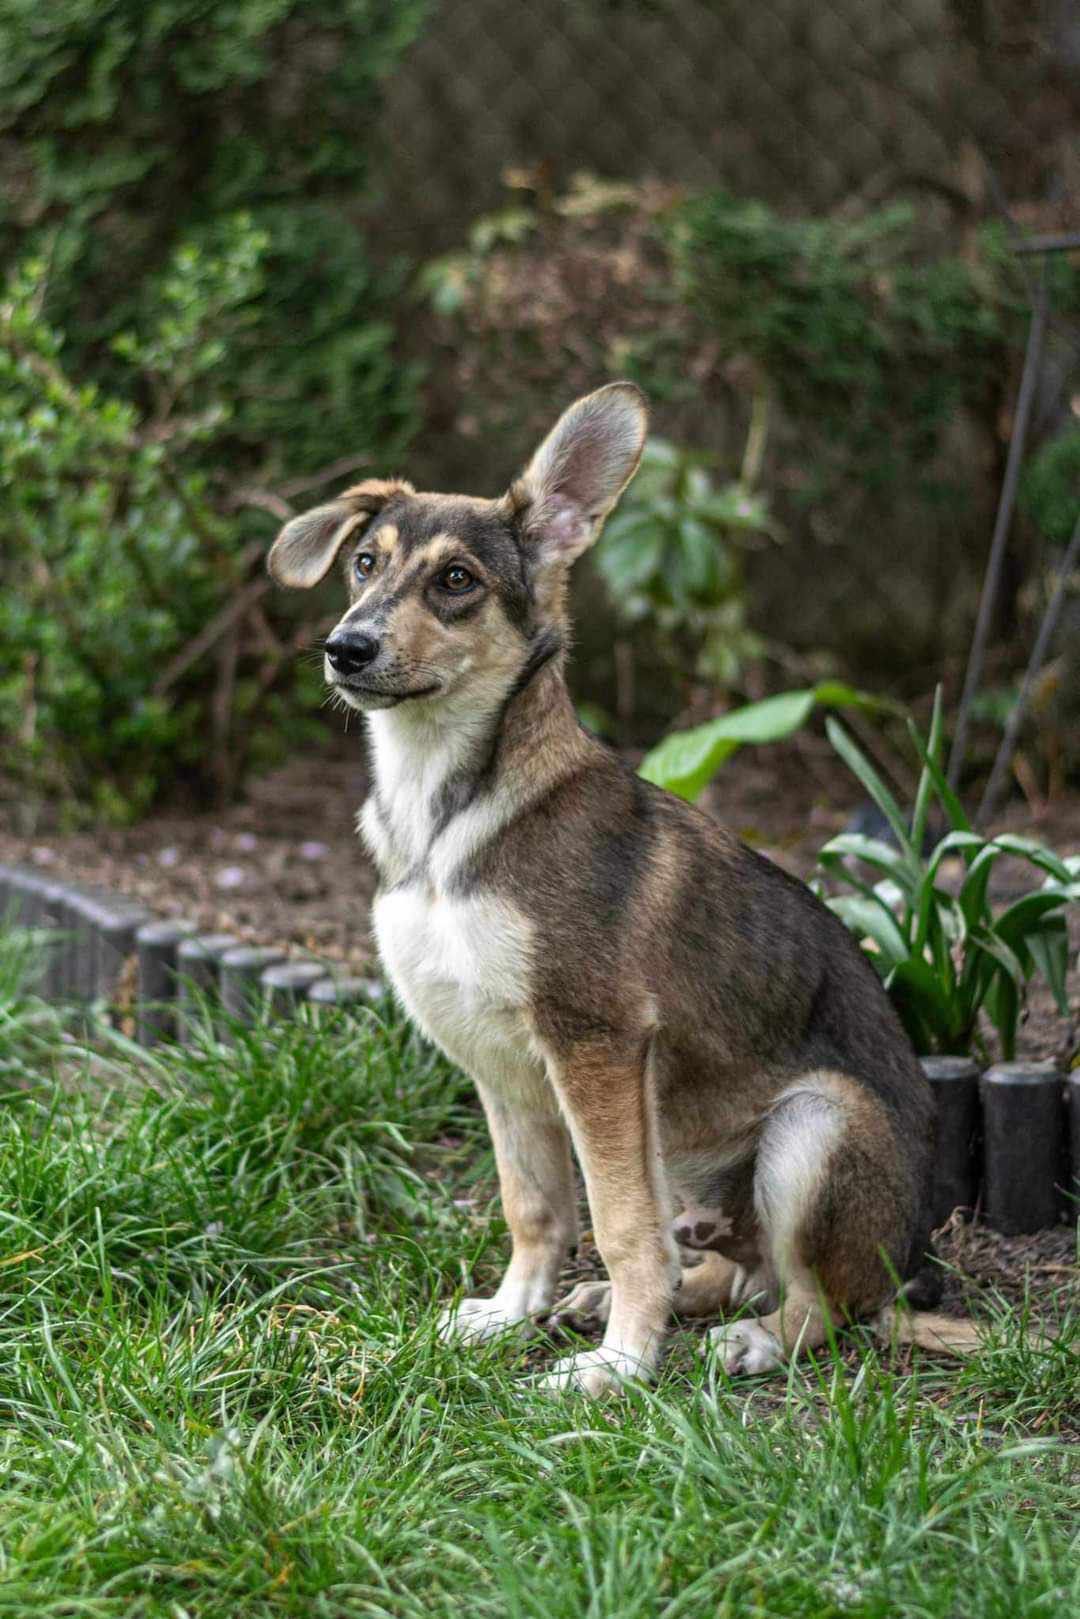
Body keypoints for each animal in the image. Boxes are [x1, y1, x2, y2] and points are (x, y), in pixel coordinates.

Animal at [270, 378, 977, 1392]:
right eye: (364, 563)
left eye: (457, 582)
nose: (345, 648)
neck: (445, 814)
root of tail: (906, 1270)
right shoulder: (499, 1060)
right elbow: (536, 1207)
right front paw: (513, 1313)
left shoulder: (594, 1043)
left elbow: (619, 1221)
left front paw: (621, 1366)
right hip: (685, 1145)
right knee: (728, 1266)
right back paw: (636, 1300)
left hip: (812, 1125)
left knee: (821, 1306)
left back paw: (750, 1339)